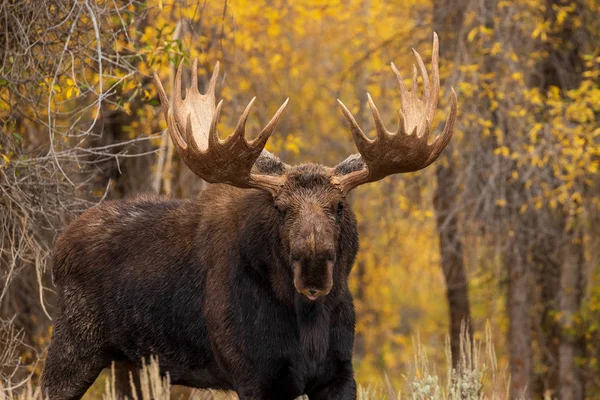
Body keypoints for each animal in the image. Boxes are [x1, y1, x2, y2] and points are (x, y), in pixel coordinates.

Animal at [41, 34, 454, 400]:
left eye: (339, 206)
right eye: (280, 208)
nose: (314, 266)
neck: (307, 321)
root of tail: (58, 248)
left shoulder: (339, 373)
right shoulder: (255, 375)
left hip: (133, 365)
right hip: (74, 343)